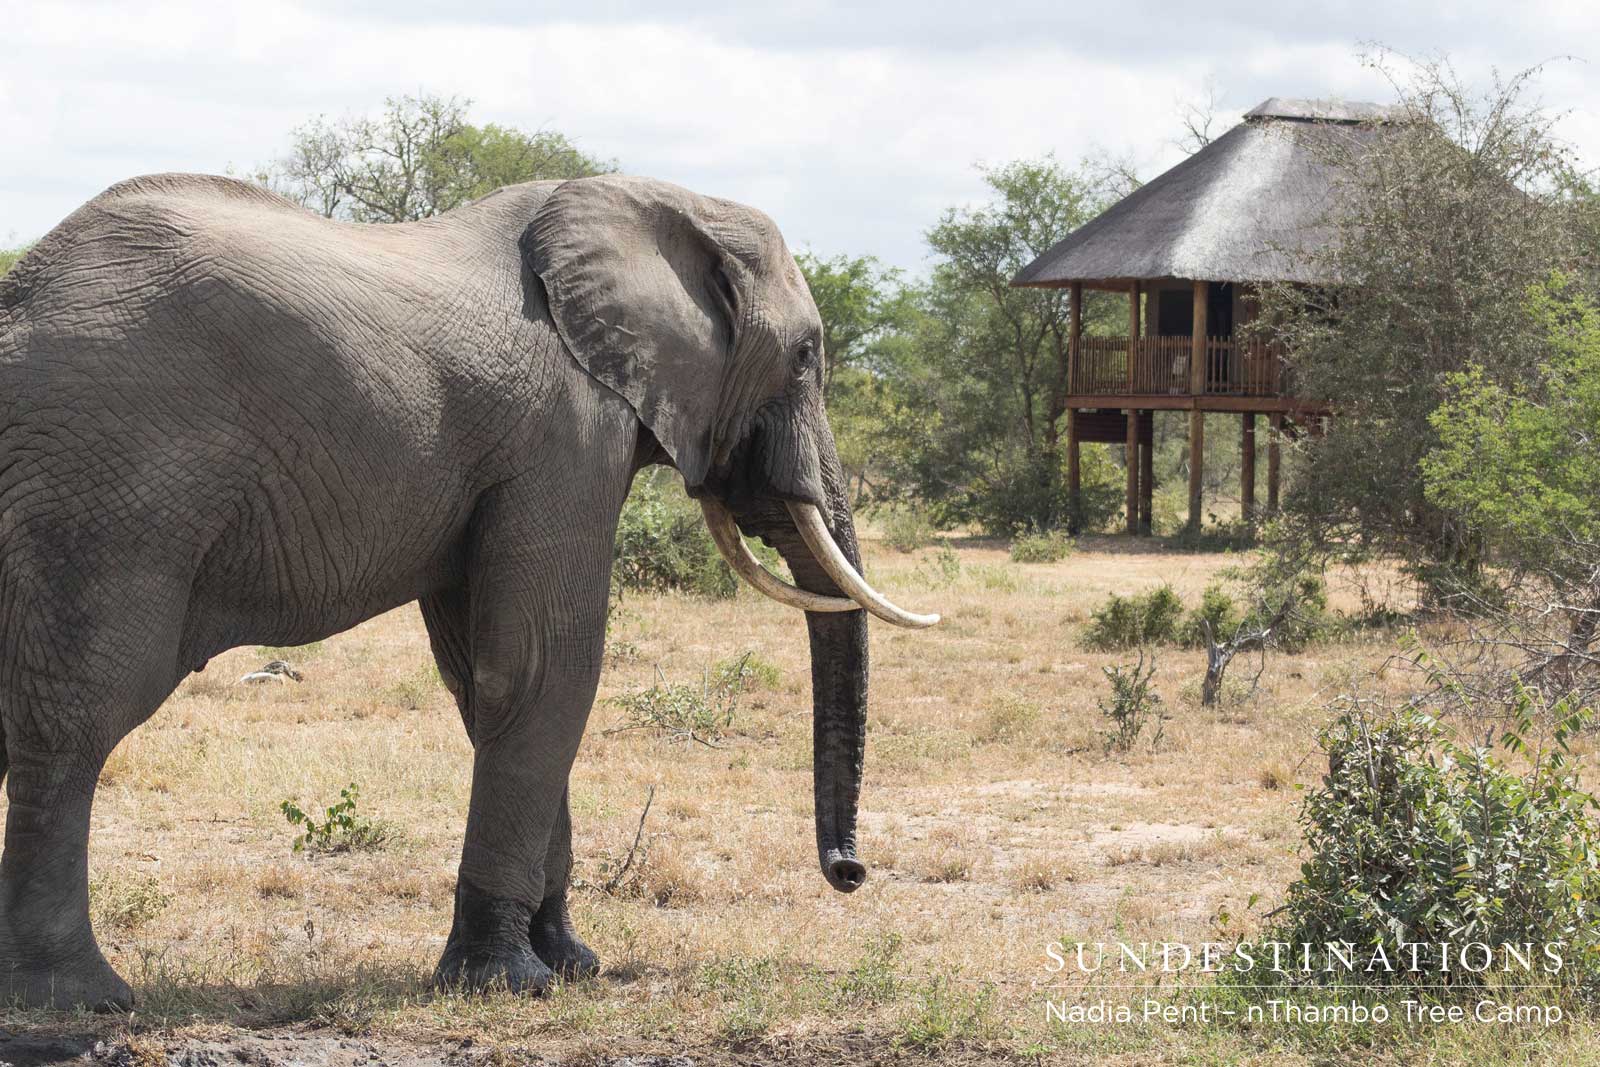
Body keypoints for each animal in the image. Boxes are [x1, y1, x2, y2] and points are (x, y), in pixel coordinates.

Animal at [0, 172, 939, 1009]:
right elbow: (544, 669)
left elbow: (480, 681)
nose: (851, 872)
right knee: (77, 720)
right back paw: (82, 1000)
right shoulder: (565, 435)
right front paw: (509, 982)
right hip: (105, 486)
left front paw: (572, 964)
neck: (659, 200)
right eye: (807, 356)